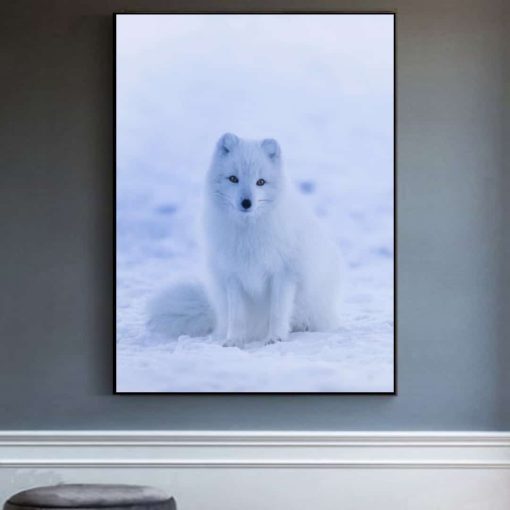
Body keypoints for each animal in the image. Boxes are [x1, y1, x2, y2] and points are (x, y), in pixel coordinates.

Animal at [149, 132, 344, 346]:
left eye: (260, 182)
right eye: (233, 179)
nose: (246, 202)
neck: (248, 233)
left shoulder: (284, 274)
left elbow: (278, 312)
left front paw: (275, 338)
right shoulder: (233, 276)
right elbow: (237, 317)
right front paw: (234, 341)